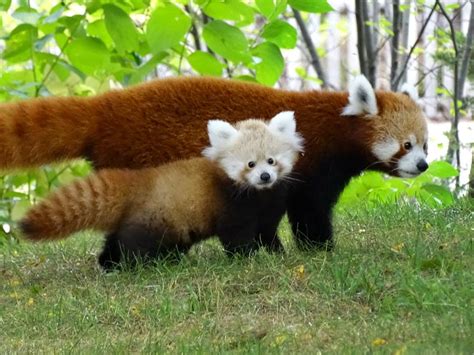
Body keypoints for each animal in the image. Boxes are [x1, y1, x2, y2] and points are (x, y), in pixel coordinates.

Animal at [19, 112, 304, 272]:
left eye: (271, 161)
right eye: (250, 164)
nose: (265, 177)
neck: (259, 195)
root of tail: (139, 182)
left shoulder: (270, 208)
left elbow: (267, 233)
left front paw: (277, 253)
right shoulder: (231, 207)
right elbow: (237, 237)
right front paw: (247, 258)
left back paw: (109, 263)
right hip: (155, 219)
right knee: (133, 243)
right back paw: (132, 266)